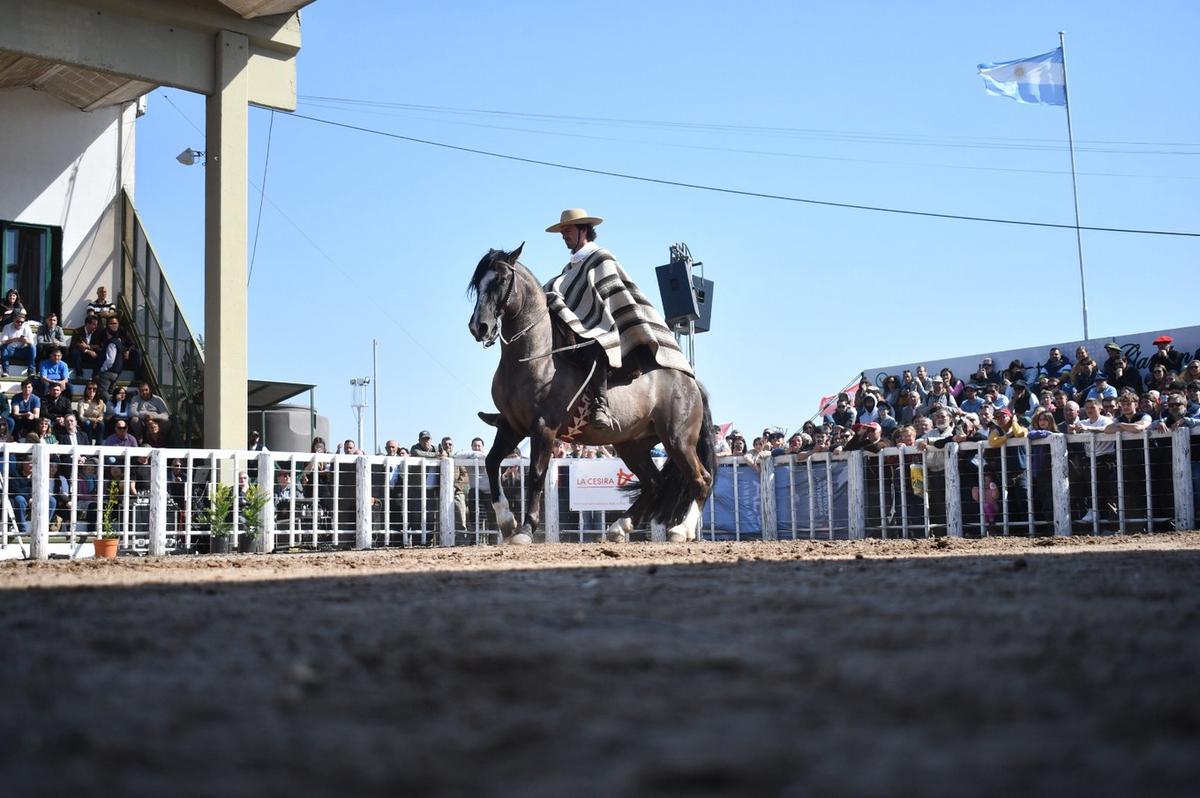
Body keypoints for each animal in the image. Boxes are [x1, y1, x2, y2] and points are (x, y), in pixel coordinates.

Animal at [465, 242, 710, 542]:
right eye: (478, 284)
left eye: (500, 280)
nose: (479, 326)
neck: (533, 356)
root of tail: (690, 381)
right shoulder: (513, 426)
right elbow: (491, 462)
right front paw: (506, 521)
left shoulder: (544, 428)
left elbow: (536, 474)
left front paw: (526, 528)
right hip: (632, 445)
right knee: (655, 483)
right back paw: (619, 527)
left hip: (678, 440)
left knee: (700, 479)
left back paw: (681, 530)